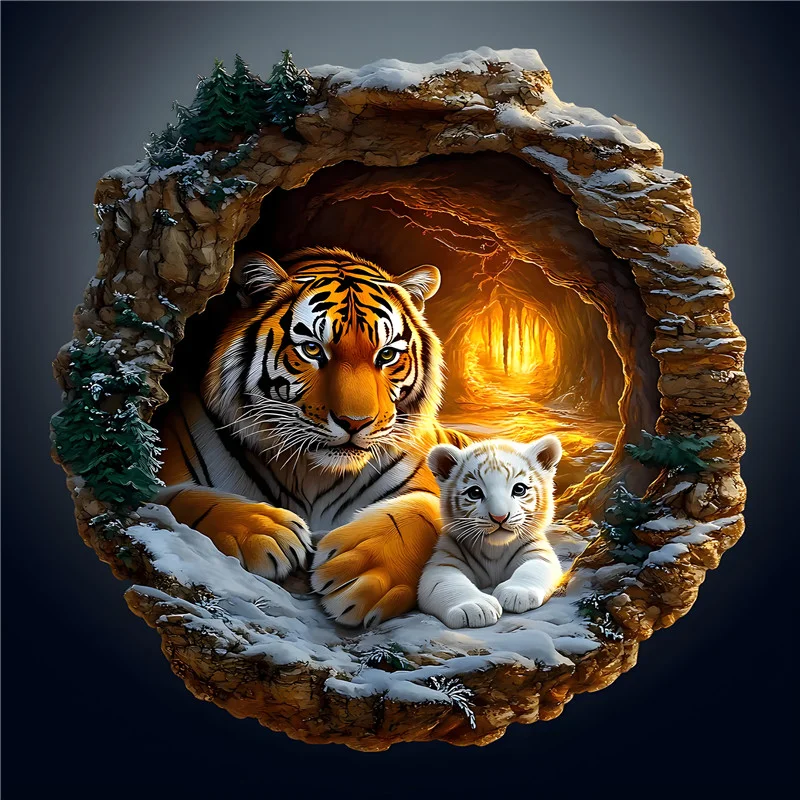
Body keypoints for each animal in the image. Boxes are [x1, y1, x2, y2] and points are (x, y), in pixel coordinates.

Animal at [156, 246, 468, 628]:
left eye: (386, 355)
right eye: (313, 350)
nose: (355, 422)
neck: (312, 473)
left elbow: (422, 514)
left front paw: (363, 573)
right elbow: (177, 499)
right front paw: (264, 531)